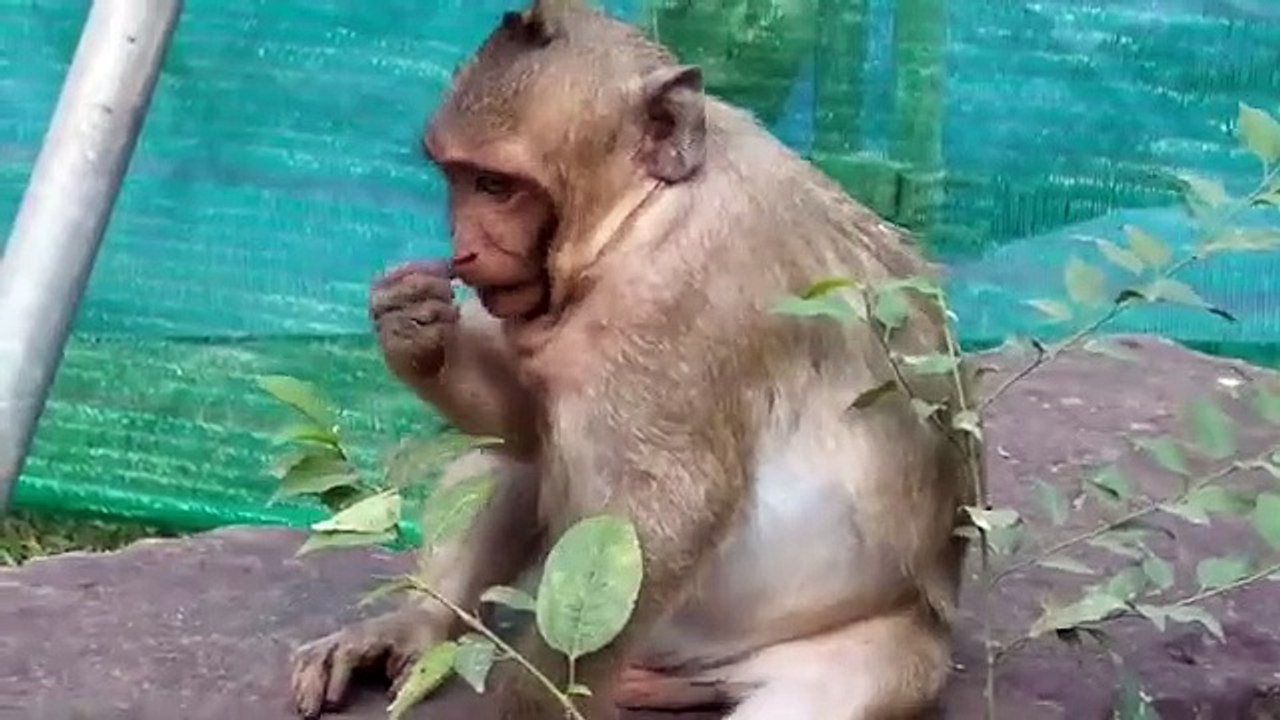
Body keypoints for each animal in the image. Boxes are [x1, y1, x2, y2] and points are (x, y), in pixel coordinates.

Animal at [290, 1, 979, 718]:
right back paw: (425, 623)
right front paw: (415, 327)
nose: (466, 248)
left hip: (885, 649)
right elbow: (523, 422)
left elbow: (662, 517)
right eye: (456, 178)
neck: (644, 211)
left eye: (497, 186)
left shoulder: (674, 303)